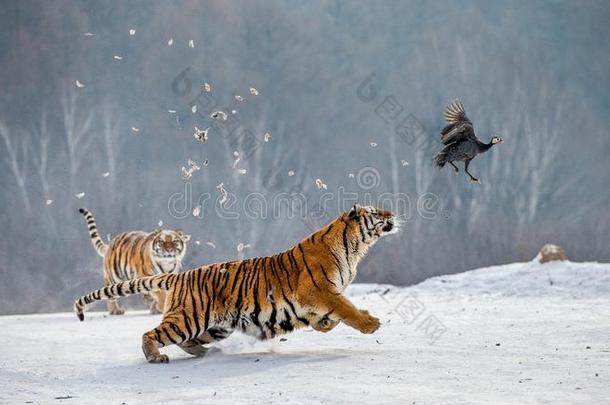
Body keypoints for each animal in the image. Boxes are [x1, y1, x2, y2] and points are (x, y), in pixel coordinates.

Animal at [75, 205, 400, 362]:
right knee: (152, 333)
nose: (393, 214)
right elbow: (345, 308)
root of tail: (181, 274)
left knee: (189, 342)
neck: (356, 247)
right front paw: (370, 323)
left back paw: (209, 354)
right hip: (188, 318)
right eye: (376, 212)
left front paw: (325, 324)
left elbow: (329, 317)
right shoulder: (320, 290)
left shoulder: (315, 299)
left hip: (215, 326)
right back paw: (156, 357)